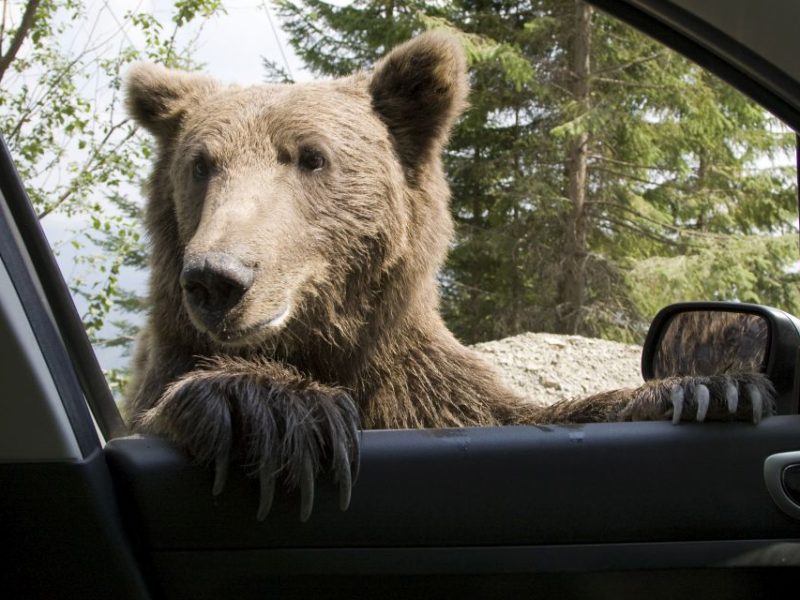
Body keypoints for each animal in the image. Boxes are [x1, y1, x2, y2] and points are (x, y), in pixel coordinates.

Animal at [125, 31, 776, 520]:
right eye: (201, 164)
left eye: (311, 156)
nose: (218, 277)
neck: (322, 342)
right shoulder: (170, 365)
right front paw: (271, 406)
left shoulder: (420, 386)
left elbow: (520, 414)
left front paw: (707, 387)